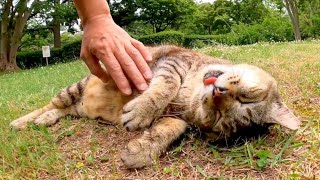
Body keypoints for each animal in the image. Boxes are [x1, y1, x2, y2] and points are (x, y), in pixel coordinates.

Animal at [10, 45, 300, 169]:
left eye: (218, 119)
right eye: (248, 97)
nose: (218, 93)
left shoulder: (177, 117)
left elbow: (168, 130)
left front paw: (140, 151)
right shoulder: (171, 62)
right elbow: (165, 85)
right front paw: (141, 111)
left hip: (77, 105)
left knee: (64, 110)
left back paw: (45, 120)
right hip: (77, 86)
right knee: (53, 103)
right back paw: (24, 121)